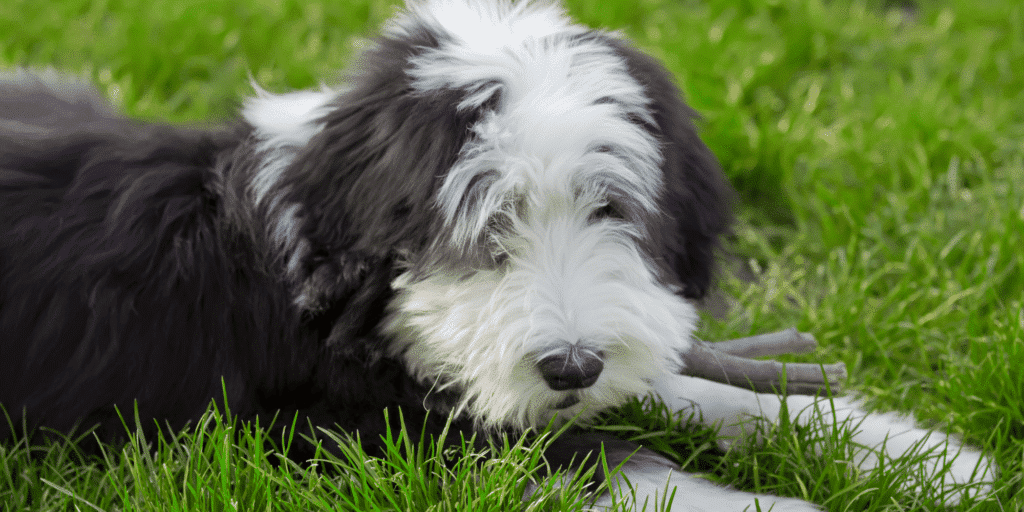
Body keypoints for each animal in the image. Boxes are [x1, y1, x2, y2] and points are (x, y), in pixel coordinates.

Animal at [0, 1, 991, 512]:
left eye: (608, 208)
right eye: (484, 229)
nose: (570, 365)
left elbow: (695, 383)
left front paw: (927, 458)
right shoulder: (329, 432)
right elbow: (619, 466)